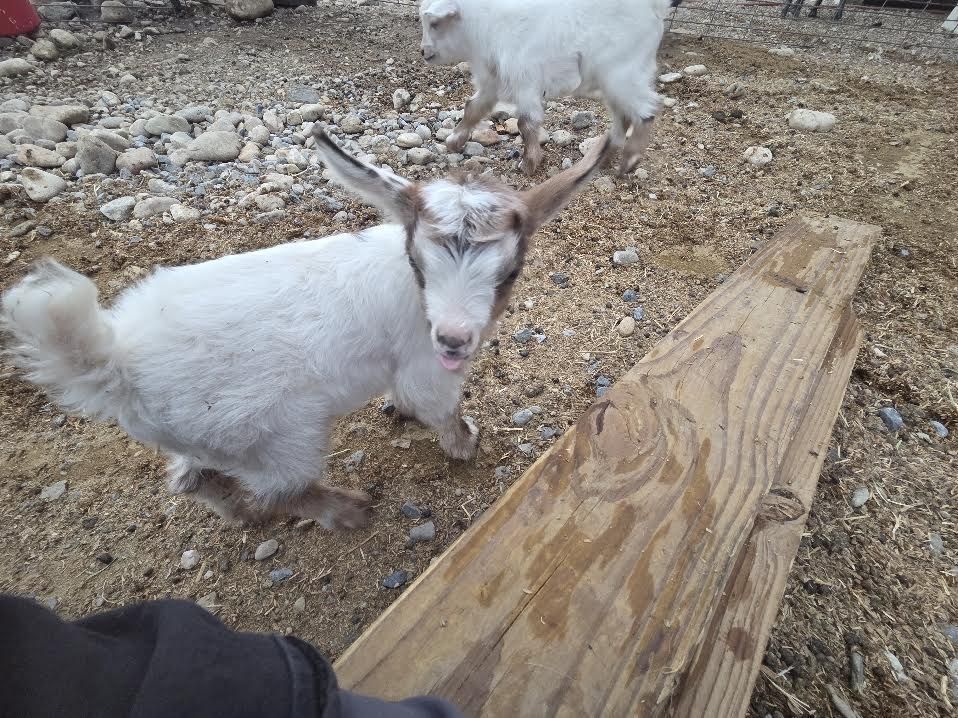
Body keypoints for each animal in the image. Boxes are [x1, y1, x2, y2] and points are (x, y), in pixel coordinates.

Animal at [1, 125, 611, 530]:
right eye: (419, 263)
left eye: (510, 271)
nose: (455, 339)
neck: (415, 297)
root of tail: (114, 362)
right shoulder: (426, 367)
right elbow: (440, 409)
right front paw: (465, 446)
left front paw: (400, 413)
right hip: (281, 438)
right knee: (284, 491)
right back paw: (347, 511)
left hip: (210, 438)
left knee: (192, 478)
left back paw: (240, 515)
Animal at [419, 0, 671, 177]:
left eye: (435, 24)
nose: (423, 52)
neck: (487, 27)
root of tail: (654, 9)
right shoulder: (493, 81)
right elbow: (473, 108)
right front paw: (453, 142)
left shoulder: (525, 81)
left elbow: (526, 123)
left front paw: (529, 164)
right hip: (614, 81)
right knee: (625, 116)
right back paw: (604, 157)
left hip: (623, 74)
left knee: (647, 110)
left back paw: (630, 160)